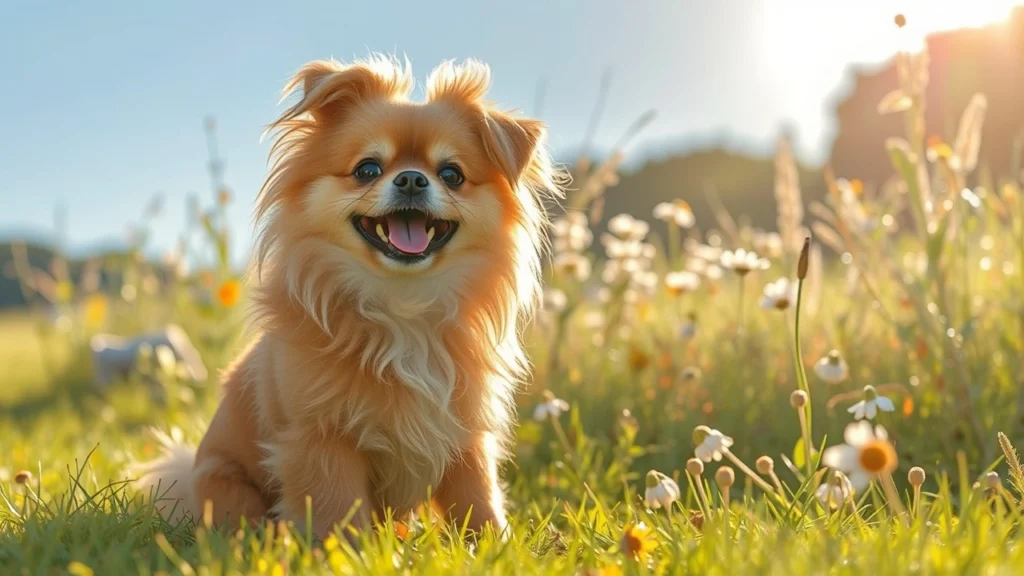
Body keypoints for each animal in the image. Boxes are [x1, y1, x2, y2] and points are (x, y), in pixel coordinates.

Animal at [133, 54, 565, 537]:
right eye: (367, 170)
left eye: (452, 175)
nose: (412, 178)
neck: (402, 305)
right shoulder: (321, 439)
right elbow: (337, 510)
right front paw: (343, 549)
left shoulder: (465, 435)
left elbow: (477, 498)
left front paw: (494, 542)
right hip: (226, 485)